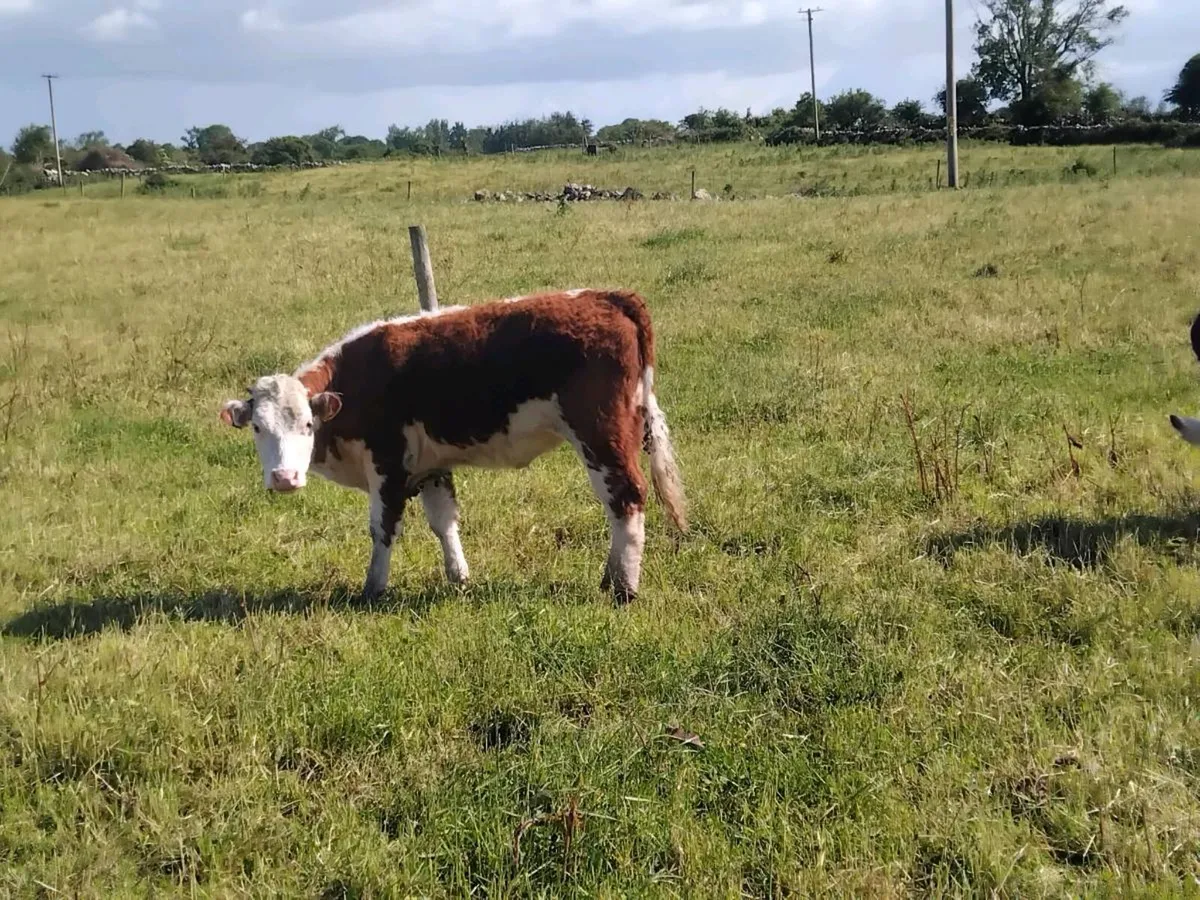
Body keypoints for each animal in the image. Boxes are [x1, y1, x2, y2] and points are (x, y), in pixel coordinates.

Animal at [219, 288, 687, 604]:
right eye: (258, 427)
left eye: (307, 424)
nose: (284, 478)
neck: (357, 381)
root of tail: (606, 296)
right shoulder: (429, 466)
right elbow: (444, 522)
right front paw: (458, 577)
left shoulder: (387, 463)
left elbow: (382, 528)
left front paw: (373, 588)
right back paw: (612, 578)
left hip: (601, 434)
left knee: (626, 499)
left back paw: (623, 588)